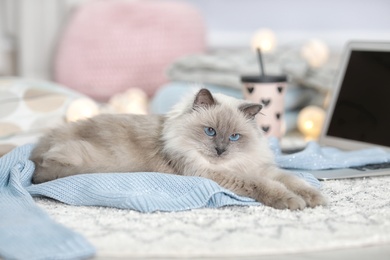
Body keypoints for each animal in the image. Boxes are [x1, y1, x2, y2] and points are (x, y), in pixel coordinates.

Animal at [31, 88, 326, 210]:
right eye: (210, 132)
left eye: (234, 137)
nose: (220, 151)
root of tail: (37, 150)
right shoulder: (220, 176)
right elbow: (268, 186)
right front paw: (293, 203)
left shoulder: (261, 167)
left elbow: (292, 180)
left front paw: (315, 199)